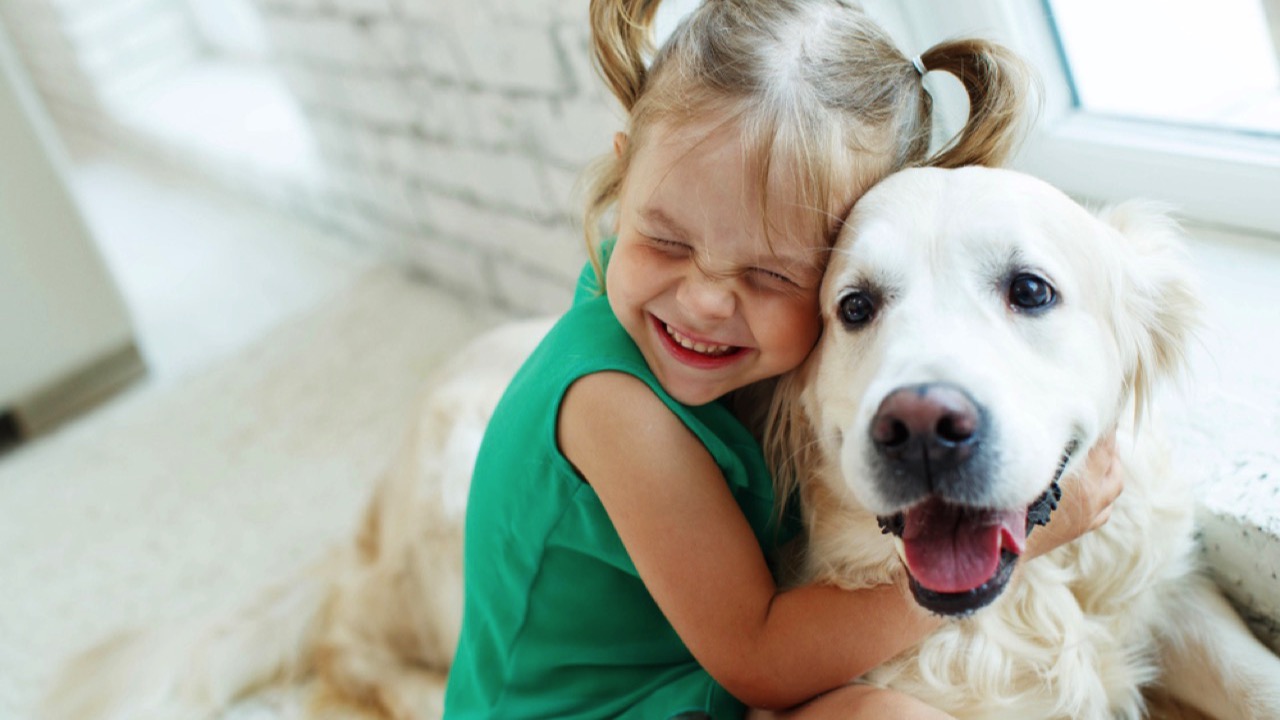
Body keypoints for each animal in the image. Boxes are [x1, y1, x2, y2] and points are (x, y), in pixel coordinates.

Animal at [45, 167, 1280, 717]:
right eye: (854, 308)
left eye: (1030, 290)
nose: (922, 426)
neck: (1024, 610)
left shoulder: (1159, 583)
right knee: (360, 647)